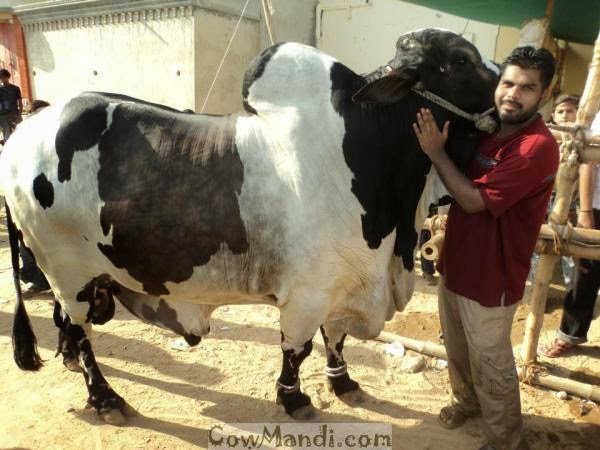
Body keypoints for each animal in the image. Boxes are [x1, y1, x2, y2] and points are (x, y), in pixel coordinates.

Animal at [1, 28, 496, 422]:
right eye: (461, 61)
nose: (511, 95)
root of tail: (21, 134)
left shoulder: (345, 281)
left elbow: (334, 336)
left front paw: (343, 382)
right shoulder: (308, 293)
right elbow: (298, 347)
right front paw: (293, 398)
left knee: (67, 323)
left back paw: (69, 362)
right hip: (68, 272)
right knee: (82, 332)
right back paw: (105, 398)